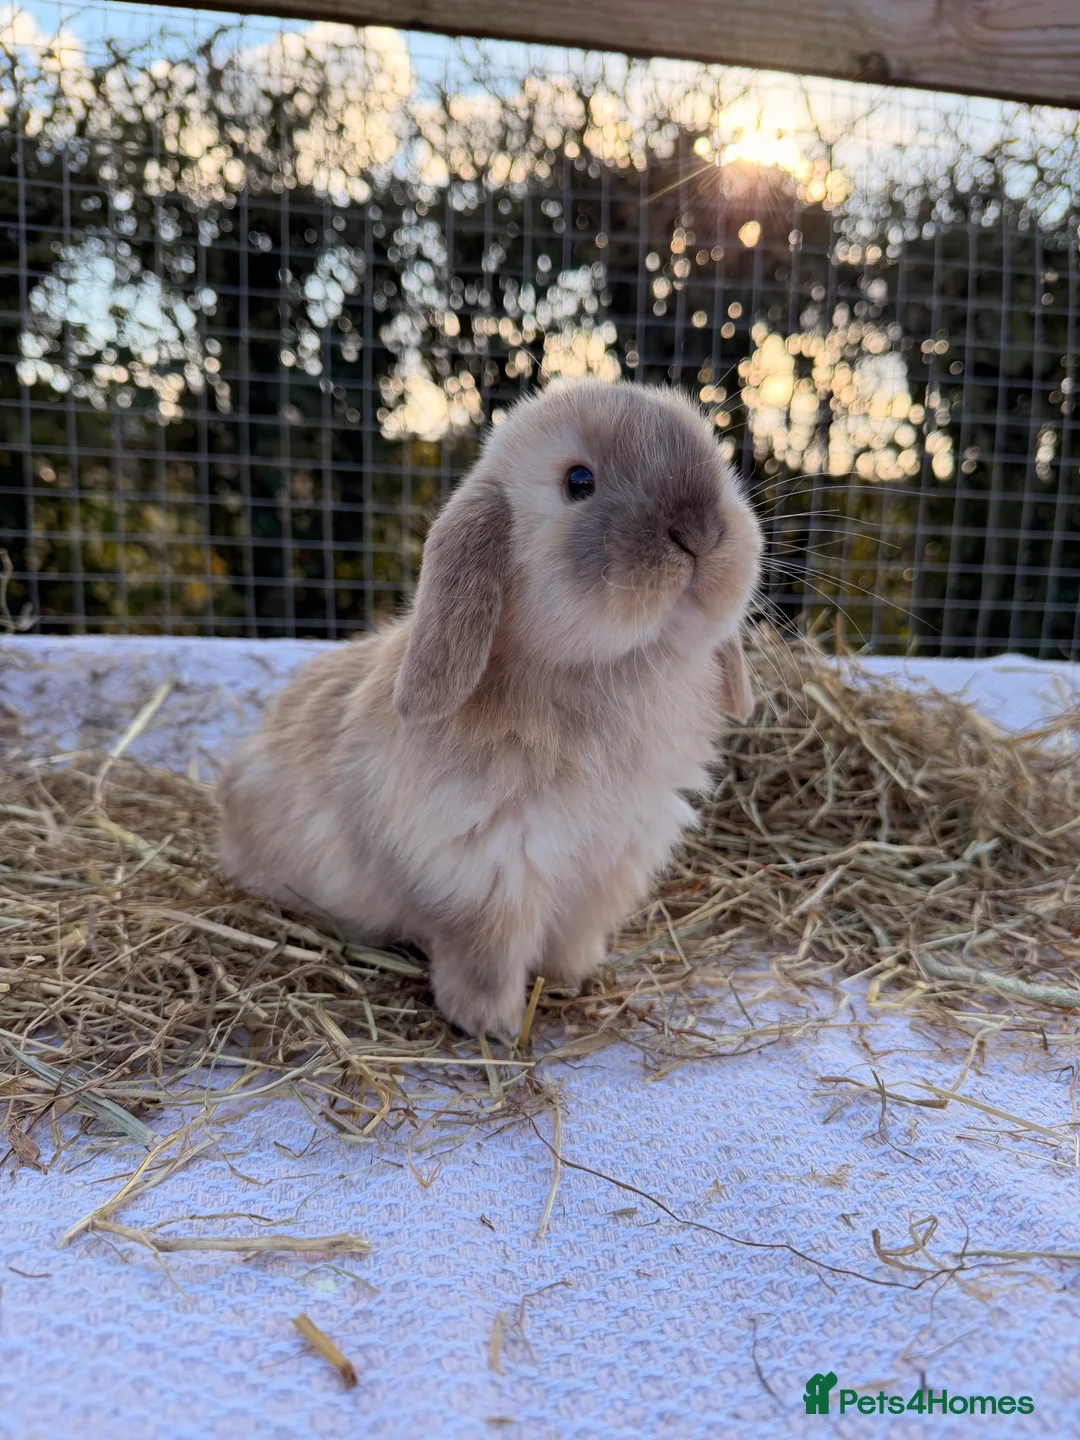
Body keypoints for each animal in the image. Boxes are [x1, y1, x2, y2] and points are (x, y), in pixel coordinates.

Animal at [218, 377, 763, 1037]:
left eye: (718, 462)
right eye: (579, 481)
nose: (700, 535)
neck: (611, 671)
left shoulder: (608, 866)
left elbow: (573, 941)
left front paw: (574, 981)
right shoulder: (486, 878)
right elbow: (485, 959)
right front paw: (491, 1026)